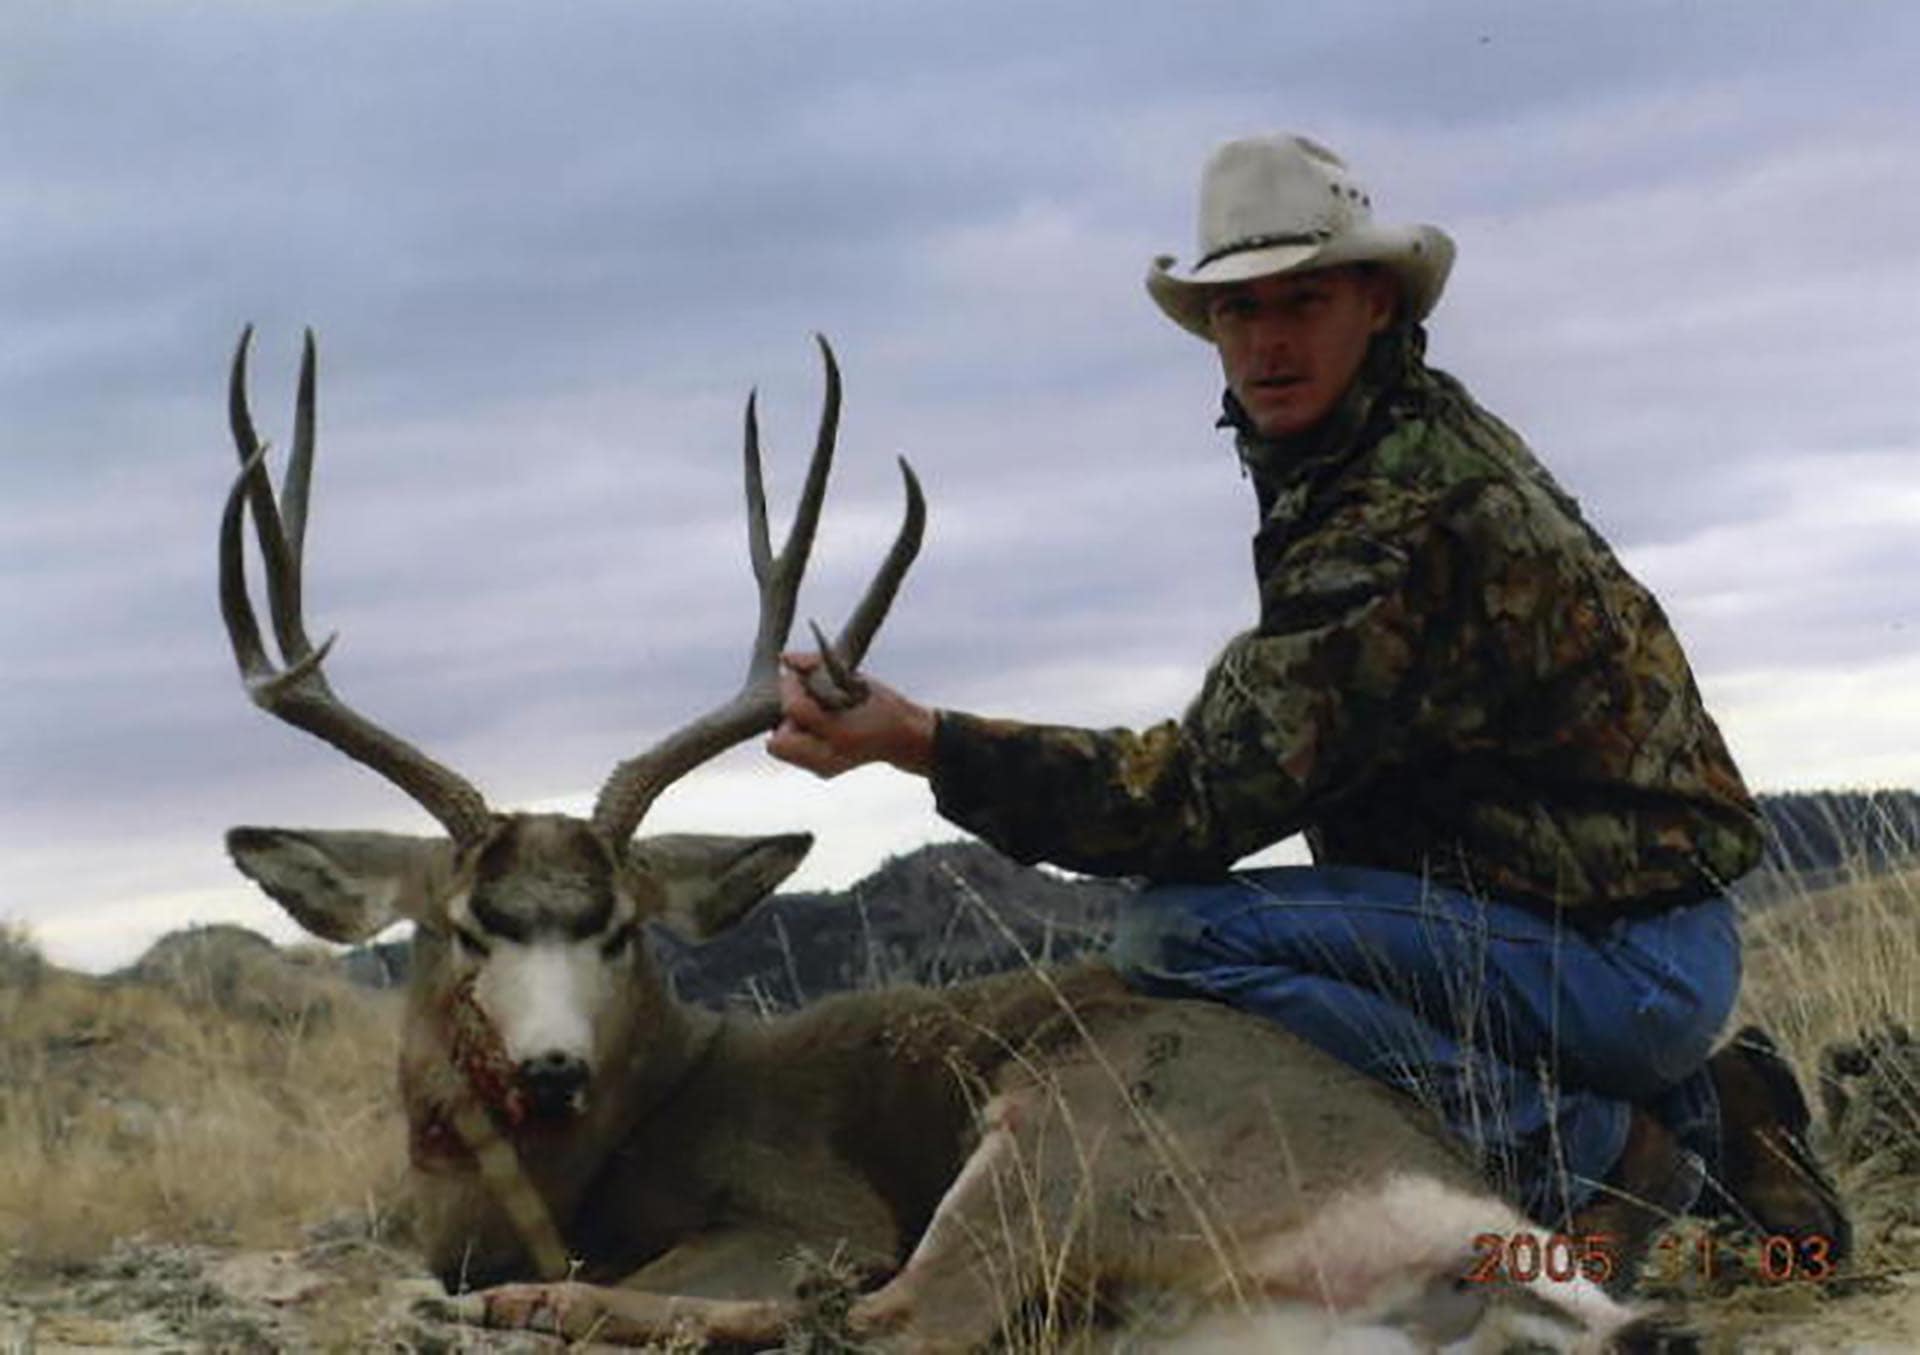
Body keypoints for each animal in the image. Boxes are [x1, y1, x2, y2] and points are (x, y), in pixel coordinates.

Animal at [216, 328, 1665, 1352]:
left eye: (620, 927)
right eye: (469, 924)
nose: (556, 1065)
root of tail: (1484, 1234)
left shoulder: (797, 1197)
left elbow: (799, 1268)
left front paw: (504, 1292)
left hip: (1077, 1134)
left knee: (883, 1317)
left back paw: (528, 1308)